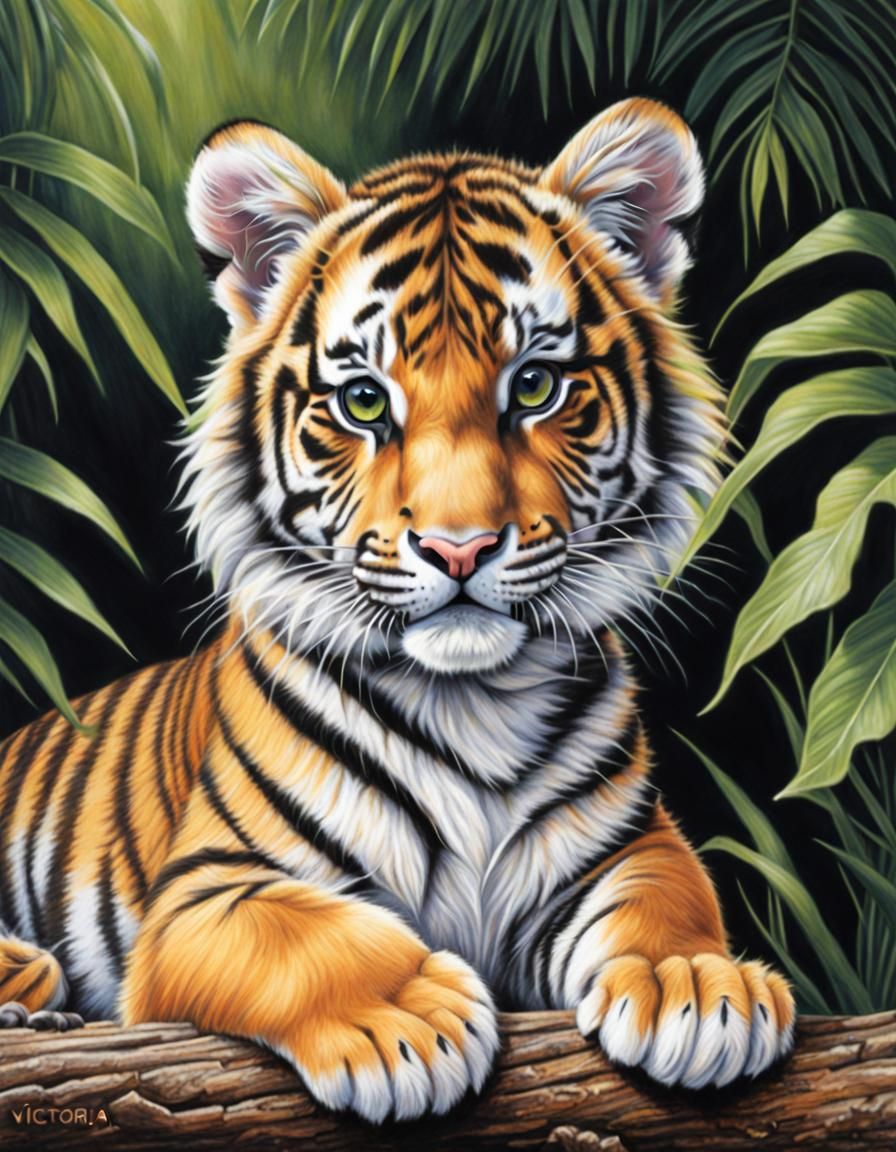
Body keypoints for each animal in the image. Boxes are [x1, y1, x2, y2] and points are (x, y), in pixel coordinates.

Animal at [0, 98, 794, 1122]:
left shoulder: (627, 844)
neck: (475, 701)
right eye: (364, 400)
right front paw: (407, 1021)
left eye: (534, 384)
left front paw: (697, 986)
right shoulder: (210, 889)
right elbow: (306, 935)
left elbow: (670, 896)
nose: (459, 548)